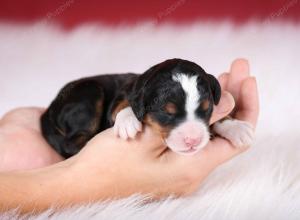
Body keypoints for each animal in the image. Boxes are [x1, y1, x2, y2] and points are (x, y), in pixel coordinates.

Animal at [41, 58, 254, 158]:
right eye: (167, 113)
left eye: (206, 109)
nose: (193, 140)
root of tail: (48, 110)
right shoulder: (125, 91)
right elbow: (123, 104)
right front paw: (127, 121)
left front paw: (235, 127)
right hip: (89, 93)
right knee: (71, 143)